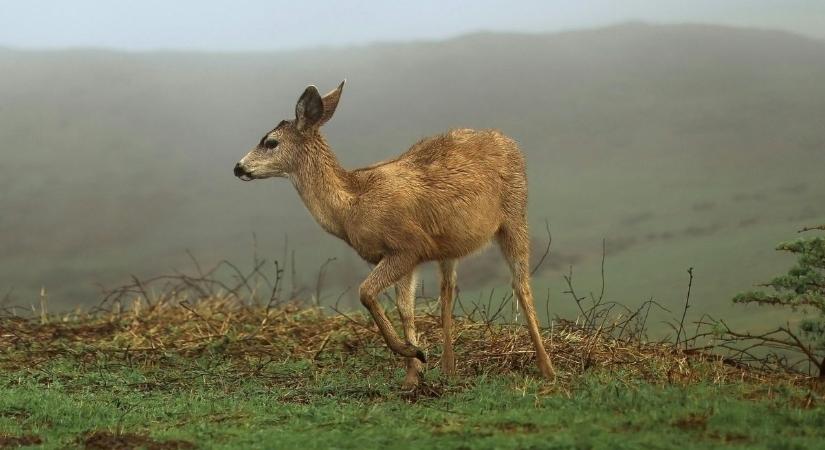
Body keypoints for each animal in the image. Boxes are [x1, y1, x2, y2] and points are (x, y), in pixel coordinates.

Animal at [232, 81, 552, 386]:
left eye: (270, 142)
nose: (238, 167)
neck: (351, 206)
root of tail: (509, 141)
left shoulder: (407, 245)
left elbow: (366, 292)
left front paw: (415, 353)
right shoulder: (405, 256)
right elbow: (405, 308)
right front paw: (413, 374)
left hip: (514, 214)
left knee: (521, 283)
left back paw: (546, 367)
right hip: (450, 245)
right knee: (448, 289)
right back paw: (449, 367)